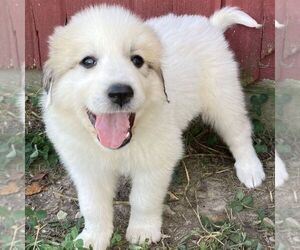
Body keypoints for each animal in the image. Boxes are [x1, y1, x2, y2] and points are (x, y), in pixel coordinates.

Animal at [41, 4, 264, 249]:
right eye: (88, 61)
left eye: (137, 60)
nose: (121, 92)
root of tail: (209, 24)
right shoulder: (87, 168)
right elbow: (92, 206)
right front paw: (92, 237)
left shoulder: (156, 162)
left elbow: (143, 199)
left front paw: (142, 231)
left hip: (223, 97)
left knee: (239, 133)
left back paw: (250, 169)